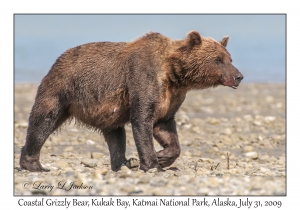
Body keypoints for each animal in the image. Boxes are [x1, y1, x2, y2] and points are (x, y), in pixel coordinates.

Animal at [18, 31, 244, 172]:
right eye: (218, 59)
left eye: (230, 58)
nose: (239, 76)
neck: (174, 75)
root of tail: (58, 59)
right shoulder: (143, 79)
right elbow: (142, 120)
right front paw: (154, 164)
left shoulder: (171, 97)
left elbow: (164, 125)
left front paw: (163, 156)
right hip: (61, 89)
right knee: (43, 122)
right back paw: (35, 165)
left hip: (106, 112)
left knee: (116, 135)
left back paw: (124, 163)